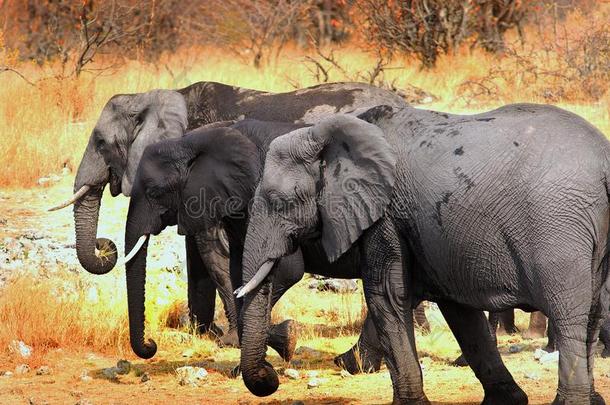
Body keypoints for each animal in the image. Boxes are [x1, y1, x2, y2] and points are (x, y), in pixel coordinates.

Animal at [48, 80, 408, 342]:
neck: (156, 96)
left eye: (101, 143)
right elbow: (196, 251)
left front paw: (229, 338)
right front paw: (202, 332)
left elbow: (213, 251)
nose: (103, 245)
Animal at [238, 105, 608, 404]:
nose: (271, 374)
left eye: (279, 201)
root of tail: (603, 161)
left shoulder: (385, 214)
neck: (328, 132)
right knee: (593, 314)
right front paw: (507, 401)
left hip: (558, 231)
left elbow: (387, 296)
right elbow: (459, 311)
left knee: (569, 317)